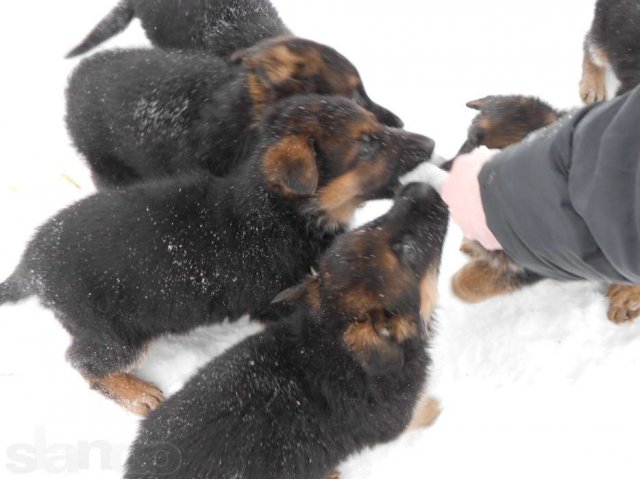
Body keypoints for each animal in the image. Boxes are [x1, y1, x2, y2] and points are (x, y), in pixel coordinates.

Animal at [0, 95, 436, 414]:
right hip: (117, 333)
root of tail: (31, 264)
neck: (280, 209)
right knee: (82, 362)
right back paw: (136, 393)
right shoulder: (277, 301)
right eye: (367, 144)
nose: (431, 143)